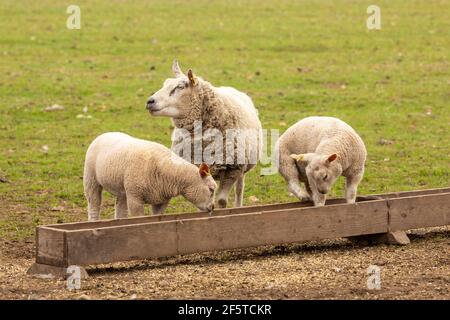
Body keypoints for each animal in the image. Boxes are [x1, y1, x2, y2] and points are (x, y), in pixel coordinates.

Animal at [85, 132, 218, 220]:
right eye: (211, 189)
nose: (212, 207)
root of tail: (105, 133)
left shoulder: (162, 199)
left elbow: (156, 216)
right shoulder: (135, 197)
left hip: (123, 188)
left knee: (120, 208)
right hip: (91, 178)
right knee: (93, 204)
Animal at [146, 61, 262, 209]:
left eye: (180, 87)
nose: (149, 101)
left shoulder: (232, 170)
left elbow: (221, 201)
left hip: (242, 167)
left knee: (239, 188)